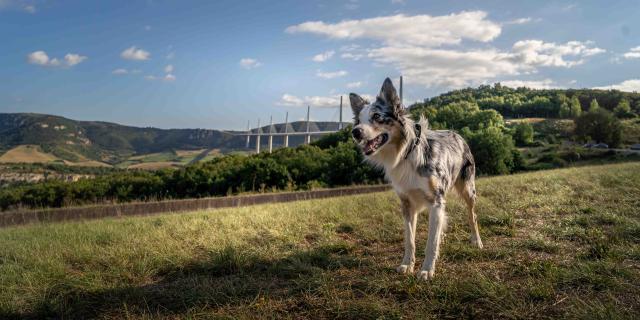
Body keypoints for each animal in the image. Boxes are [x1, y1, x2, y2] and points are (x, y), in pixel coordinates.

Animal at [350, 79, 484, 282]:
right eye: (359, 121)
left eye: (376, 116)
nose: (355, 132)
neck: (406, 152)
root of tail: (456, 133)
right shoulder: (407, 203)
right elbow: (410, 240)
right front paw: (407, 265)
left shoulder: (435, 200)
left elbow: (430, 242)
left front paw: (427, 270)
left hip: (468, 188)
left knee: (472, 215)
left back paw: (476, 240)